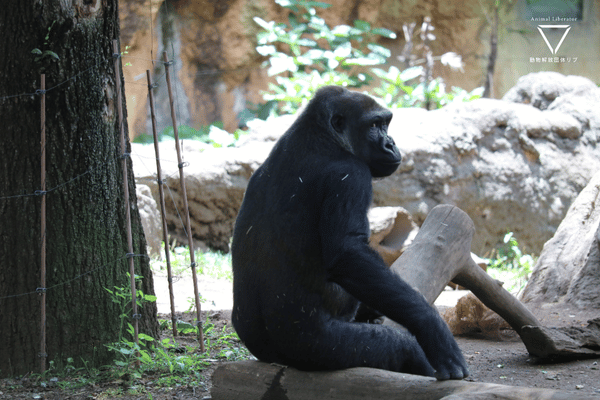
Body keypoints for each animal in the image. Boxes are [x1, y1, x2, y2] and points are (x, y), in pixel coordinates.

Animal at [230, 86, 468, 380]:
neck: (321, 134)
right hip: (316, 348)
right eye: (375, 125)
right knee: (399, 347)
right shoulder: (352, 175)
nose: (391, 143)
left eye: (385, 123)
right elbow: (349, 255)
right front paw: (432, 329)